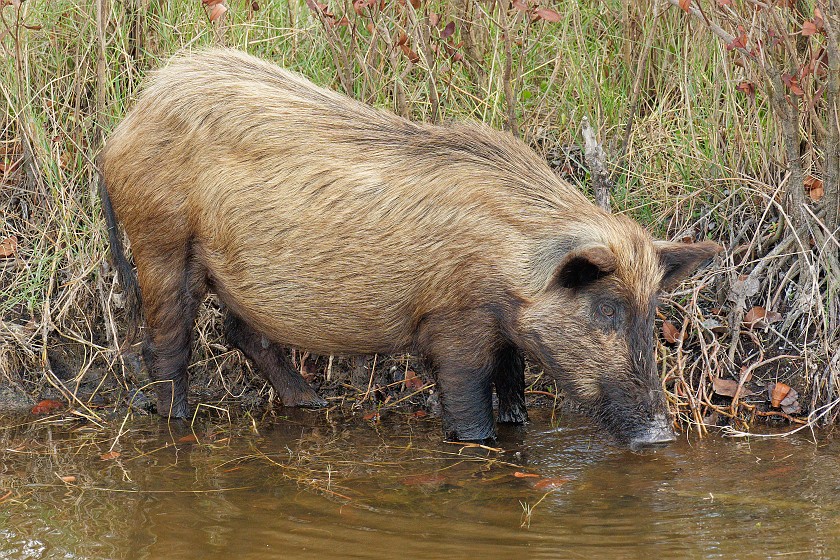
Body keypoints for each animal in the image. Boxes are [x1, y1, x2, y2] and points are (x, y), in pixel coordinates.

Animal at [100, 48, 720, 448]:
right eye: (607, 310)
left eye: (651, 313)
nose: (661, 436)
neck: (509, 266)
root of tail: (126, 122)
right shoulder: (454, 322)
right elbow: (471, 409)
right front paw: (475, 442)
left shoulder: (507, 334)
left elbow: (515, 396)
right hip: (160, 240)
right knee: (164, 346)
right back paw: (179, 422)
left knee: (242, 332)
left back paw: (313, 402)